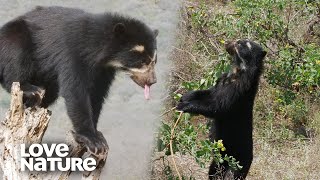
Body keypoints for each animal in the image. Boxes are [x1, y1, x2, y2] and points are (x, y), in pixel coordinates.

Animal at [0, 5, 159, 158]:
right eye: (142, 61)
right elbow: (76, 92)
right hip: (16, 38)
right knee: (16, 60)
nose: (152, 81)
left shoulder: (103, 71)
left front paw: (98, 135)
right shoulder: (73, 53)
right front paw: (92, 140)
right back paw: (30, 89)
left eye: (154, 61)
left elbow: (96, 95)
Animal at [176, 39, 266, 180]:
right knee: (214, 172)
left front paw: (184, 106)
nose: (229, 42)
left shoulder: (237, 91)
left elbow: (217, 106)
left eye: (243, 44)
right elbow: (207, 93)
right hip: (218, 162)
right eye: (239, 40)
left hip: (237, 164)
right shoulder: (220, 83)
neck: (236, 72)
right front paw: (185, 96)